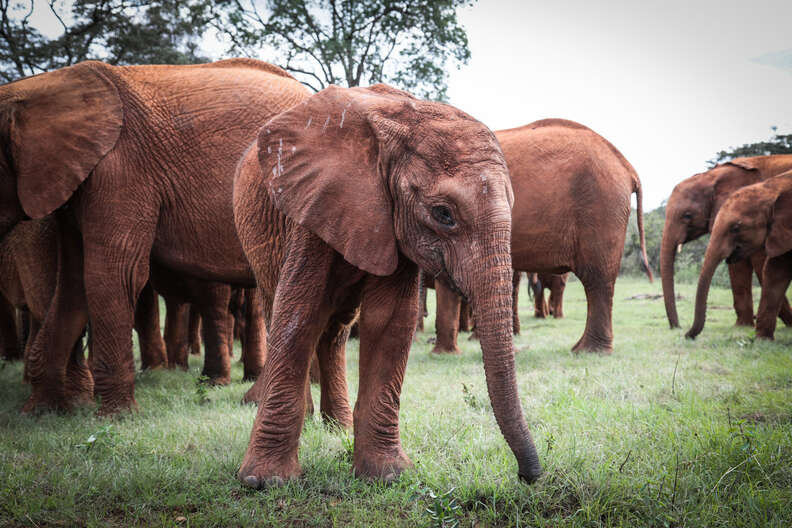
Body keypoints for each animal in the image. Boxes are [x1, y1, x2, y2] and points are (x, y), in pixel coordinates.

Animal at [0, 57, 302, 412]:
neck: (40, 87)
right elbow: (73, 285)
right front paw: (39, 413)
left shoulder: (120, 169)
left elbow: (114, 274)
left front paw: (116, 416)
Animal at [232, 84, 540, 488]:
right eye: (443, 214)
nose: (527, 475)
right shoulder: (313, 206)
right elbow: (299, 313)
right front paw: (264, 482)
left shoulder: (392, 222)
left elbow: (390, 321)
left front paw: (387, 475)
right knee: (280, 310)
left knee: (336, 330)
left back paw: (338, 428)